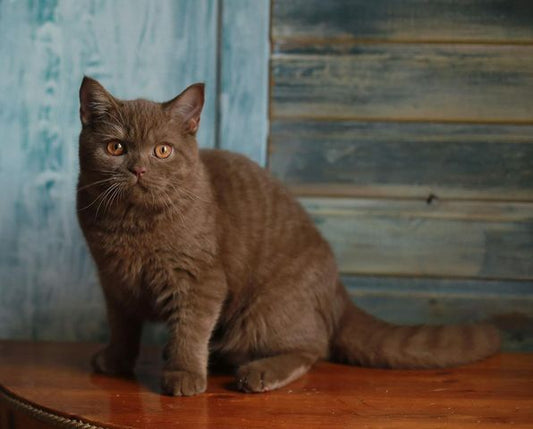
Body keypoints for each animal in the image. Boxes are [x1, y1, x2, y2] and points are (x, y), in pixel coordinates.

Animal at [77, 76, 500, 394]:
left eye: (162, 151)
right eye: (116, 147)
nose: (138, 169)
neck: (131, 226)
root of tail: (338, 293)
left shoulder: (199, 280)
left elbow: (190, 328)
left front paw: (184, 374)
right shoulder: (113, 281)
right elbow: (122, 326)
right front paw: (116, 360)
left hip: (266, 309)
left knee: (312, 347)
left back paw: (258, 373)